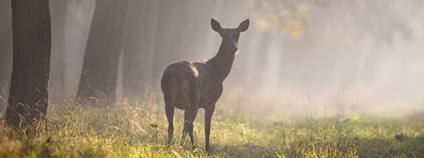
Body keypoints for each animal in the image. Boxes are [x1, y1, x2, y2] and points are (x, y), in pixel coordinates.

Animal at [161, 18, 248, 152]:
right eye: (223, 35)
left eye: (237, 35)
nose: (233, 47)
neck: (219, 72)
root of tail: (177, 74)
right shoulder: (211, 101)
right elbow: (207, 128)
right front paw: (207, 149)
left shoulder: (186, 106)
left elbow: (184, 128)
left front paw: (181, 145)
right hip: (194, 97)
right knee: (190, 123)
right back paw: (194, 147)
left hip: (168, 97)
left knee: (172, 125)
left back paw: (169, 146)